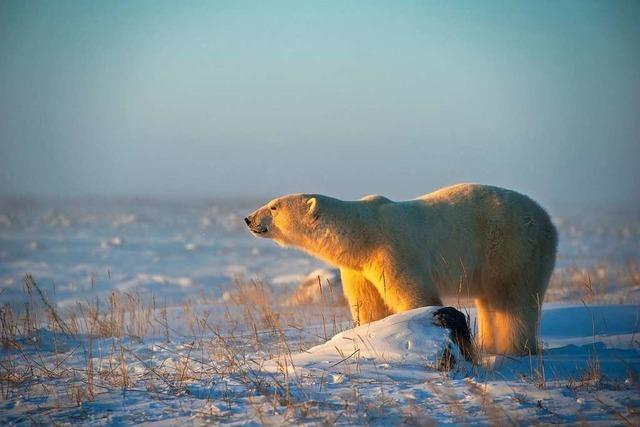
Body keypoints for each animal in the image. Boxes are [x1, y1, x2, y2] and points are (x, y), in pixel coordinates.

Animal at [245, 183, 556, 354]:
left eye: (274, 207)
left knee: (513, 300)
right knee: (491, 301)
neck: (364, 233)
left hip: (512, 246)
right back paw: (491, 346)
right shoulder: (359, 269)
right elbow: (368, 305)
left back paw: (514, 349)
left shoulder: (393, 251)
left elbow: (413, 296)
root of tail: (547, 219)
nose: (248, 219)